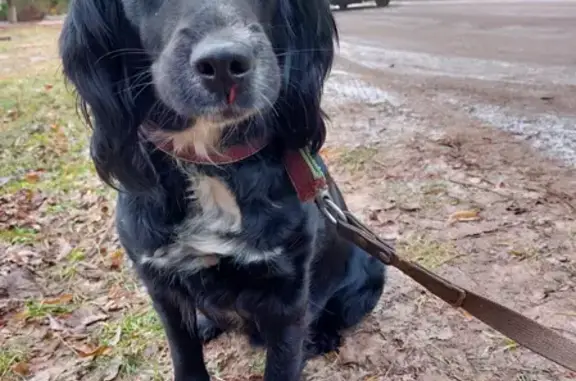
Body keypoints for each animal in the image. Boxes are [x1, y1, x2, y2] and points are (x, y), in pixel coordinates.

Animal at [58, 0, 384, 380]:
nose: (225, 64)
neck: (208, 160)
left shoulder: (287, 293)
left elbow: (284, 360)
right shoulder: (161, 285)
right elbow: (185, 356)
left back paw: (321, 337)